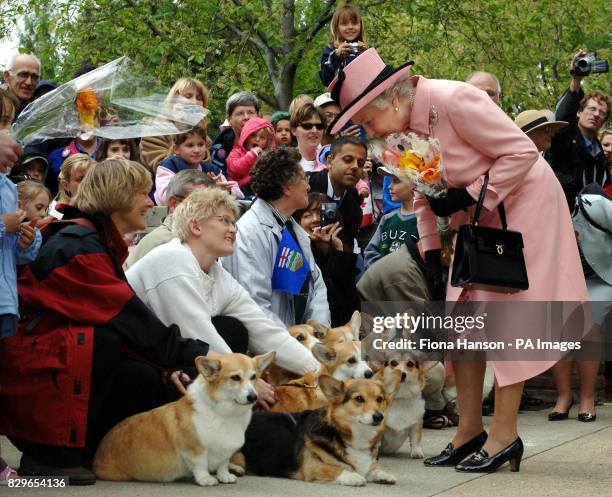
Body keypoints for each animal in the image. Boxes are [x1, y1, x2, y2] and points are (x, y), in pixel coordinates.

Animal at [93, 350, 274, 486]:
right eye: (235, 377)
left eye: (253, 377)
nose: (253, 397)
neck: (224, 413)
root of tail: (96, 455)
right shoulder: (193, 449)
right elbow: (201, 464)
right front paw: (206, 479)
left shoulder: (225, 450)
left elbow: (223, 463)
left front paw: (225, 475)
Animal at [238, 372, 402, 484]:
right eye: (359, 399)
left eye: (380, 399)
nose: (379, 417)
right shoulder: (311, 466)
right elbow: (336, 469)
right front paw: (353, 476)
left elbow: (374, 468)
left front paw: (383, 474)